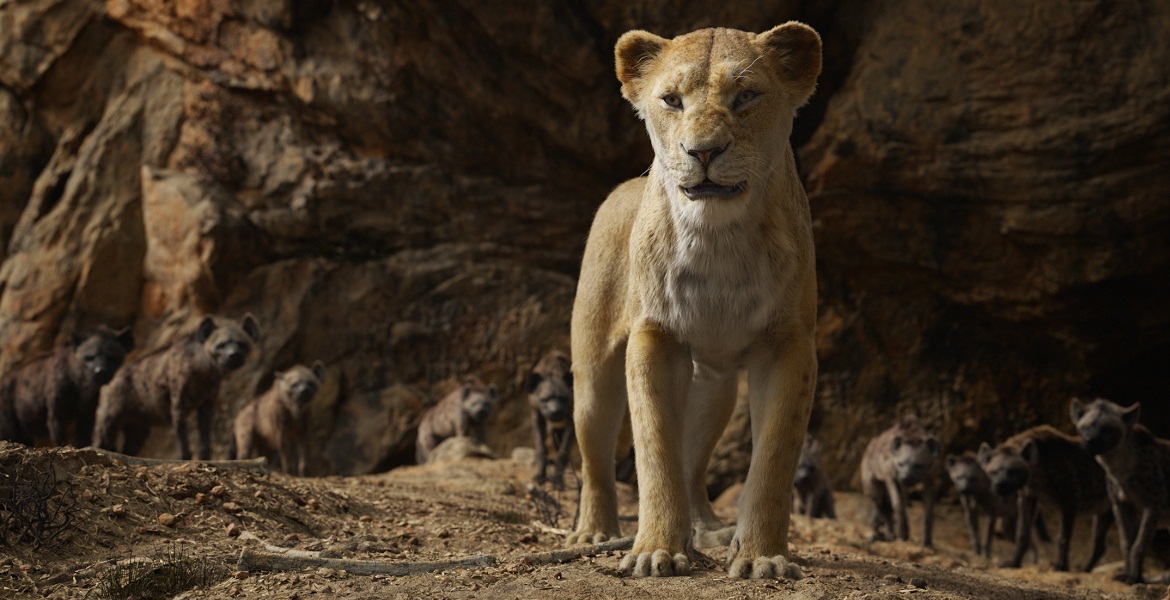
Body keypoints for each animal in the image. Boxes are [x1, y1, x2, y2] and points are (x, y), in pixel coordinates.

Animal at [566, 23, 822, 580]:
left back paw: (706, 529)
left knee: (693, 461)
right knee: (595, 457)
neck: (717, 236)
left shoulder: (788, 342)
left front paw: (762, 556)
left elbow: (775, 456)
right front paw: (656, 550)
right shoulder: (656, 336)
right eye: (671, 100)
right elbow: (654, 448)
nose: (703, 152)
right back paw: (595, 532)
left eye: (746, 96)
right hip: (593, 372)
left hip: (717, 385)